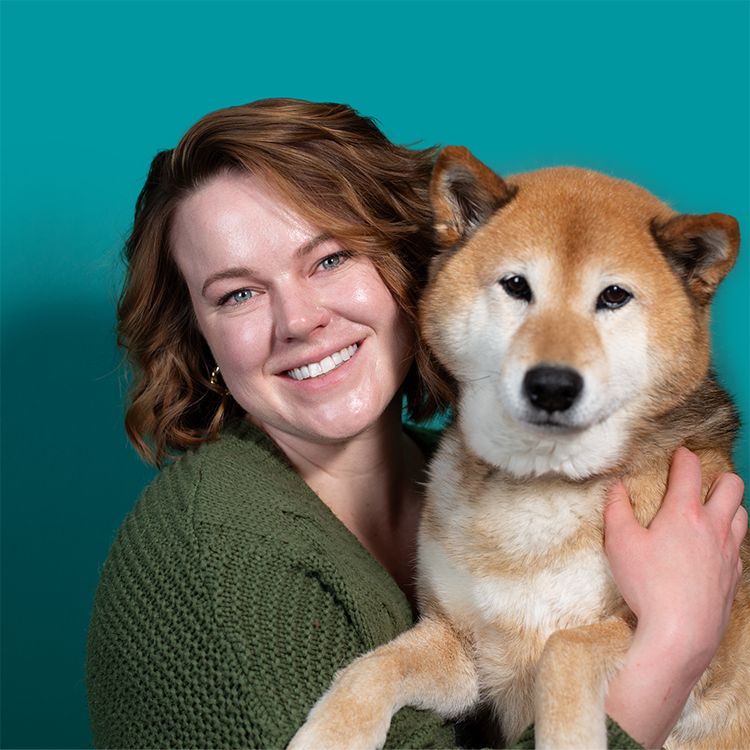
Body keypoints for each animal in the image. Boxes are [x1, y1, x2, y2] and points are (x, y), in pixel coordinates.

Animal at [286, 148, 748, 750]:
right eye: (516, 285)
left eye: (614, 296)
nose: (551, 385)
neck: (541, 482)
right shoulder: (463, 653)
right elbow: (375, 665)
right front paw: (331, 733)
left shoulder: (702, 648)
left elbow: (565, 649)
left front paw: (569, 735)